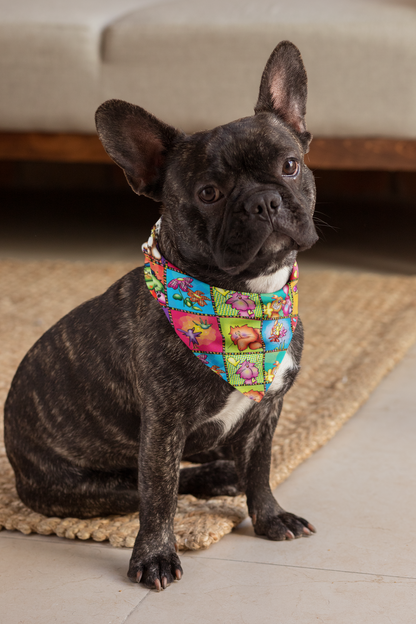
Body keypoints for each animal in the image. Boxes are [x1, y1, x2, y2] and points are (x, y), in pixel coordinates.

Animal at [3, 40, 318, 588]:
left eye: (290, 165)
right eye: (209, 194)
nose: (263, 200)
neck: (242, 302)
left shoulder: (266, 411)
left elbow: (260, 470)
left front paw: (271, 517)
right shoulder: (163, 426)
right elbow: (159, 496)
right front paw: (154, 556)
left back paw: (222, 470)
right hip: (84, 489)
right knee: (148, 488)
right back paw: (212, 476)